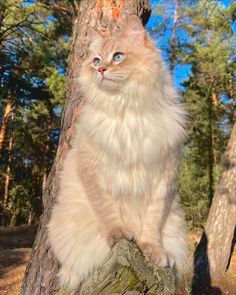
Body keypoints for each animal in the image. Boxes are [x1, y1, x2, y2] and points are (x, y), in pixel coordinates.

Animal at [48, 15, 188, 292]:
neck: (127, 108)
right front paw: (121, 236)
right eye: (96, 61)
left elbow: (151, 225)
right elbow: (108, 213)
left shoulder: (162, 179)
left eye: (119, 57)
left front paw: (151, 251)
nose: (101, 70)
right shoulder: (93, 173)